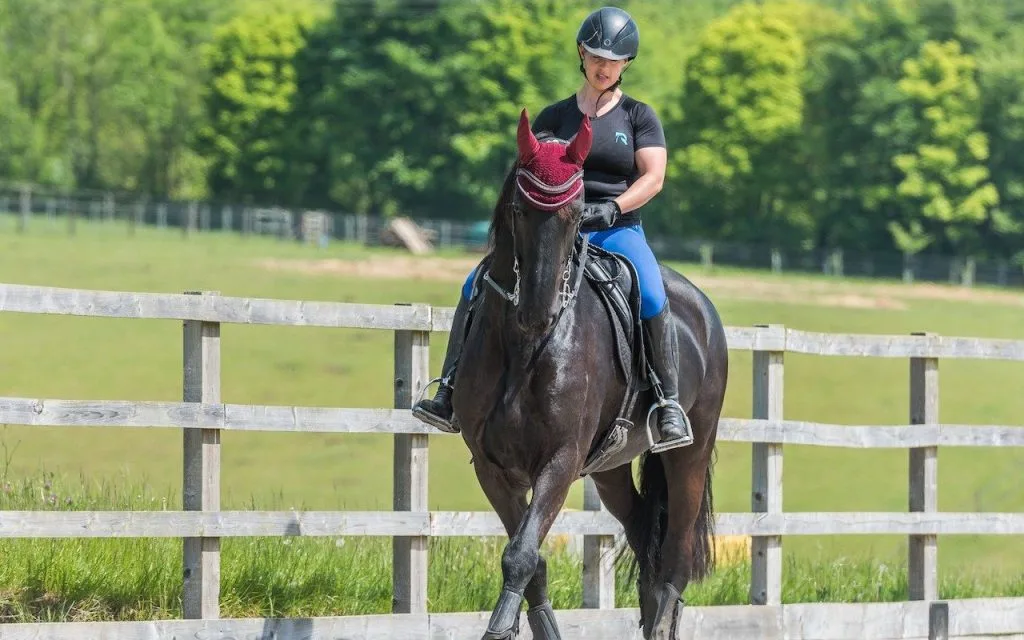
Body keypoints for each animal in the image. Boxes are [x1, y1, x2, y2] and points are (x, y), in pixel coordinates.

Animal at [449, 108, 729, 639]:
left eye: (579, 215)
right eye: (519, 209)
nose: (538, 312)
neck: (525, 347)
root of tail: (702, 306)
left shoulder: (559, 460)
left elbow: (521, 555)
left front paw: (498, 628)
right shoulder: (491, 466)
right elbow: (529, 558)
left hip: (690, 454)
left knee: (676, 554)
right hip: (610, 468)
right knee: (644, 535)